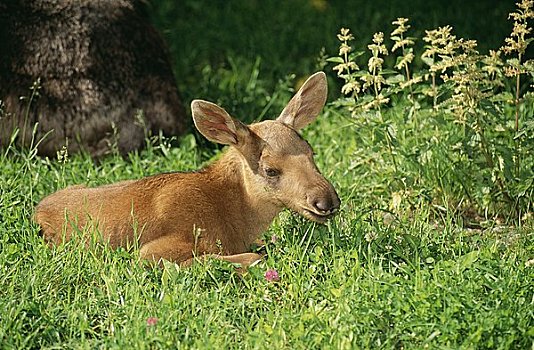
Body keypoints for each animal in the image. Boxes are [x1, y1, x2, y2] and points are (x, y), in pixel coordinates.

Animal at [35, 72, 342, 266]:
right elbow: (247, 257)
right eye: (270, 170)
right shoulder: (154, 250)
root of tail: (37, 210)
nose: (327, 201)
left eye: (311, 152)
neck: (234, 219)